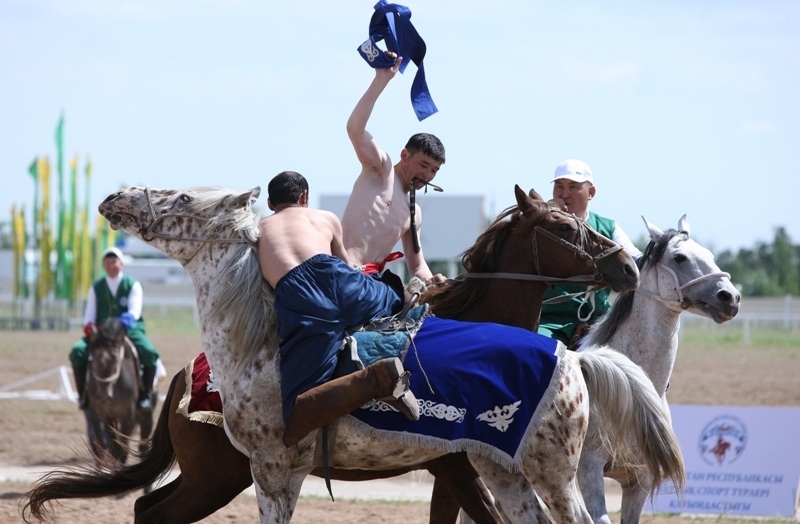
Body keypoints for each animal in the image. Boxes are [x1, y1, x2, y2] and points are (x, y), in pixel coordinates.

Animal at [84, 318, 155, 465]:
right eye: (91, 360)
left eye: (114, 359)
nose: (103, 397)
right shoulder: (99, 412)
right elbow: (104, 446)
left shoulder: (127, 414)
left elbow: (123, 449)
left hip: (145, 416)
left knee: (143, 446)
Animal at [575, 214, 740, 524]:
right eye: (679, 257)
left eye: (710, 255)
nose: (731, 297)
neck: (629, 389)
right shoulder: (588, 471)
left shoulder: (640, 479)